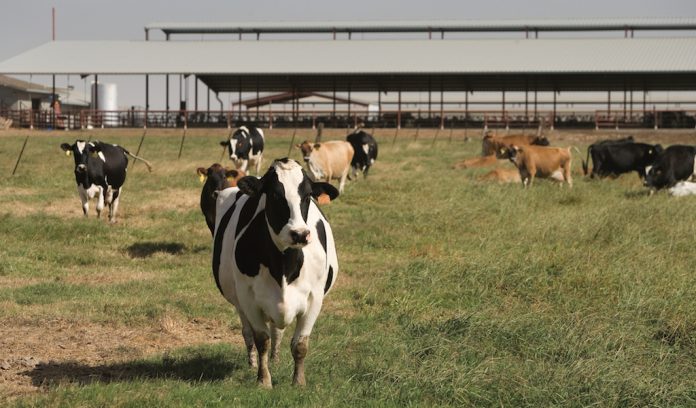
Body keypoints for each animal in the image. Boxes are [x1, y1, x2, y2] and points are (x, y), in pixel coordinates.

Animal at [213, 158, 339, 387]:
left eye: (307, 195)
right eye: (274, 195)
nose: (299, 234)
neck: (283, 267)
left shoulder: (314, 299)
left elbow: (300, 344)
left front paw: (299, 381)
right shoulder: (248, 299)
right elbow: (261, 339)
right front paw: (263, 380)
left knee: (277, 331)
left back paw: (276, 358)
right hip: (238, 300)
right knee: (248, 333)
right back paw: (252, 362)